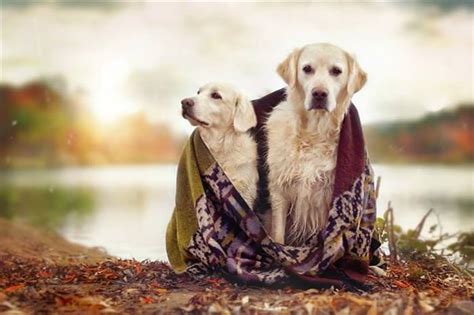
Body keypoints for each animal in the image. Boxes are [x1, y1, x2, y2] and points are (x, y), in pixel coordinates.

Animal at [266, 43, 366, 246]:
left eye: (336, 71)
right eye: (307, 69)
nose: (319, 94)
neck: (313, 133)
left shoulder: (329, 198)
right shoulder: (279, 188)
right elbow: (278, 232)